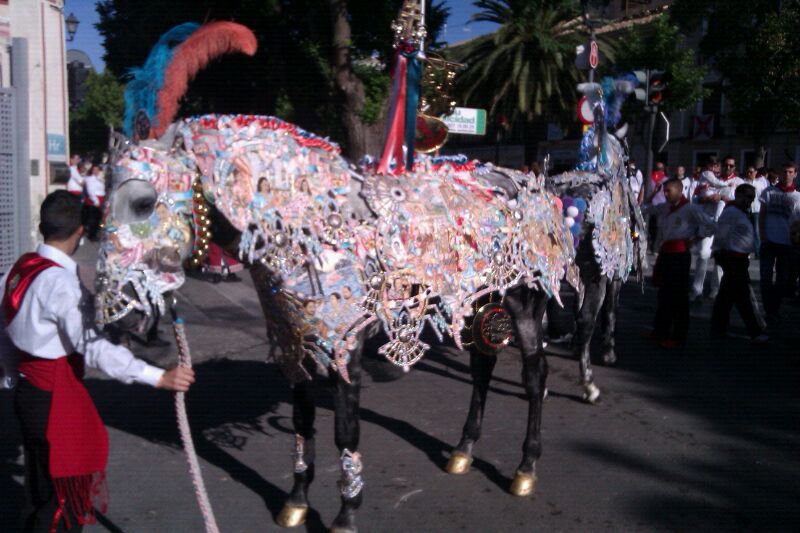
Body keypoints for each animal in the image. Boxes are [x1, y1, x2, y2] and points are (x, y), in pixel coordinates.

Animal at [97, 17, 580, 532]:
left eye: (144, 203)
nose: (111, 306)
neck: (310, 227)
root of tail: (534, 186)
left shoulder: (344, 349)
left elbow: (345, 433)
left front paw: (346, 513)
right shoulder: (295, 345)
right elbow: (302, 423)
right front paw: (295, 500)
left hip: (525, 301)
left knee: (534, 375)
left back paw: (525, 468)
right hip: (477, 301)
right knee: (482, 366)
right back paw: (464, 450)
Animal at [552, 77, 648, 404]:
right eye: (629, 155)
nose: (634, 171)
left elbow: (574, 307)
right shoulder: (611, 274)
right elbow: (610, 313)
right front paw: (608, 352)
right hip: (597, 276)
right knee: (587, 321)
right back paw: (589, 385)